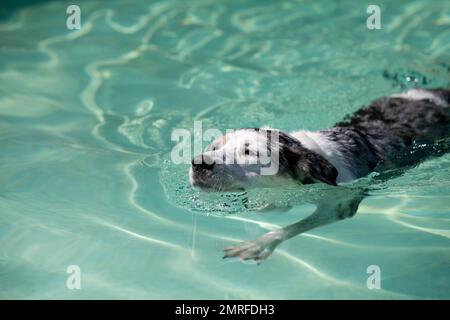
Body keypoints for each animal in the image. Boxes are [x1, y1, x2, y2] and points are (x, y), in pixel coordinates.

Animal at [189, 88, 450, 262]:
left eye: (249, 152)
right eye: (215, 147)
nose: (199, 163)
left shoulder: (340, 203)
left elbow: (292, 227)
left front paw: (259, 244)